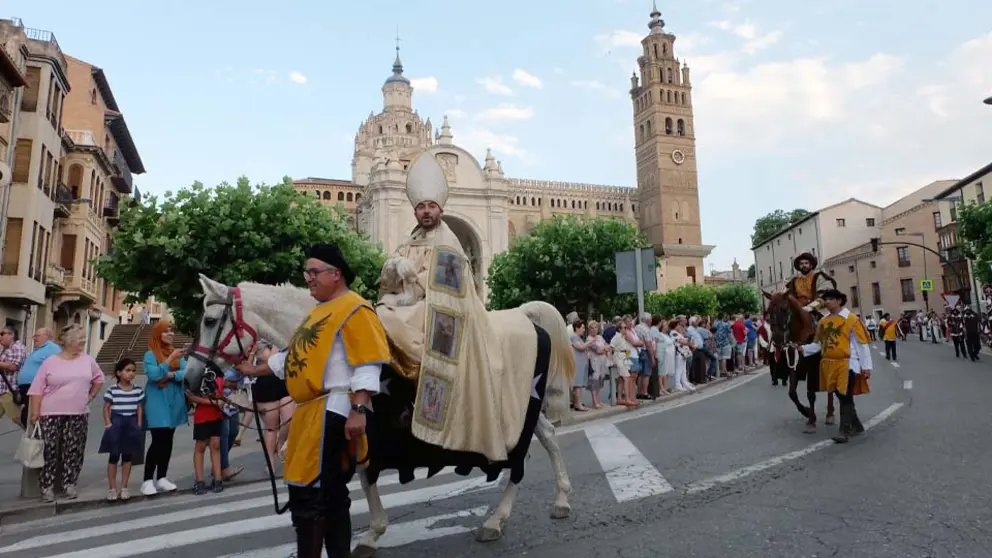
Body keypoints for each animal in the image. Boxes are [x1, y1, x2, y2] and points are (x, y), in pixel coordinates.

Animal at [182, 274, 576, 556]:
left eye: (211, 319)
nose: (192, 379)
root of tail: (523, 316)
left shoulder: (366, 426)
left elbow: (362, 477)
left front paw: (371, 533)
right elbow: (360, 478)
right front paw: (370, 532)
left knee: (521, 459)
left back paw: (498, 519)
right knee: (548, 437)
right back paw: (559, 499)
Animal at [764, 290, 832, 436]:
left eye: (783, 309)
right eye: (768, 310)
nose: (777, 339)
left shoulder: (812, 369)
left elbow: (810, 394)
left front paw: (811, 419)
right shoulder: (793, 366)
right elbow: (792, 394)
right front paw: (807, 412)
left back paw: (830, 414)